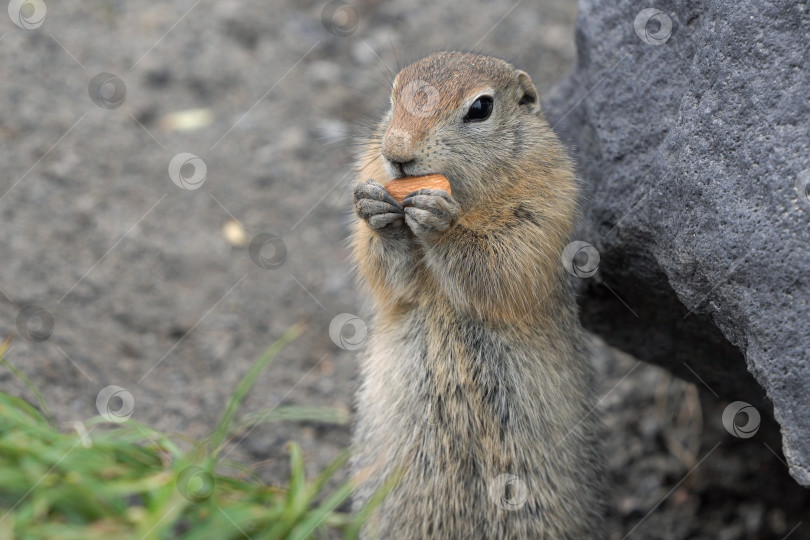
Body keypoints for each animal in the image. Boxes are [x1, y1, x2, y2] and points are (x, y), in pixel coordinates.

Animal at [350, 51, 604, 540]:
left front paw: (440, 221)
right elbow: (387, 277)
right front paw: (377, 212)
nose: (396, 154)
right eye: (392, 97)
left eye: (481, 108)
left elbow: (503, 262)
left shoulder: (543, 206)